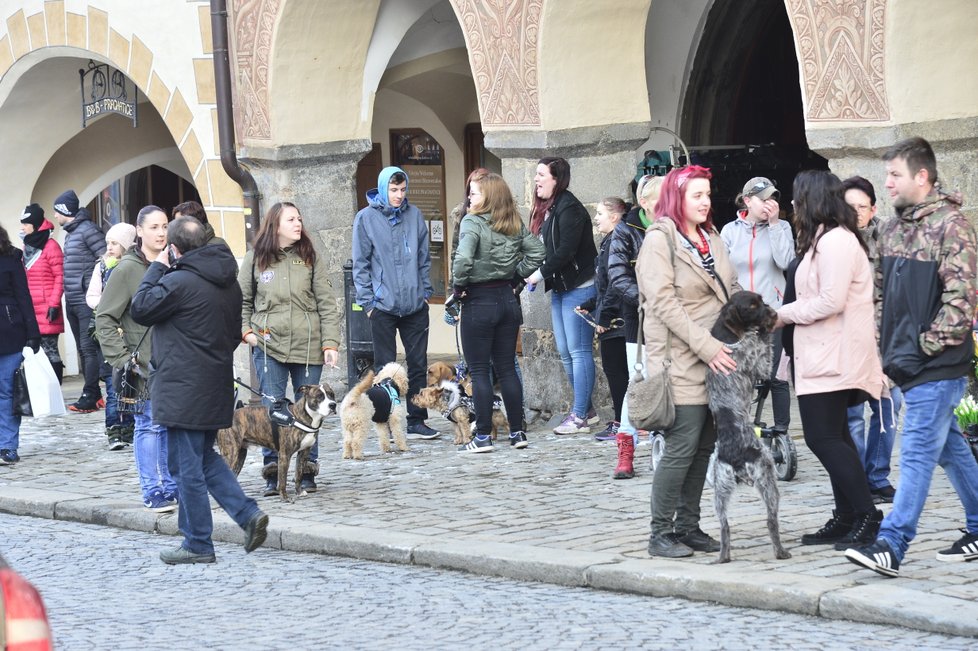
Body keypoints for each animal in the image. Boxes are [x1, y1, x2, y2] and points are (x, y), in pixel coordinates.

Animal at [704, 290, 788, 564]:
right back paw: (781, 552)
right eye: (752, 306)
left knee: (724, 526)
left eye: (760, 300)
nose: (772, 311)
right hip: (767, 476)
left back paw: (724, 557)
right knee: (771, 520)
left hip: (719, 489)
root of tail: (735, 458)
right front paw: (765, 328)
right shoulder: (759, 364)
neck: (725, 332)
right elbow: (763, 347)